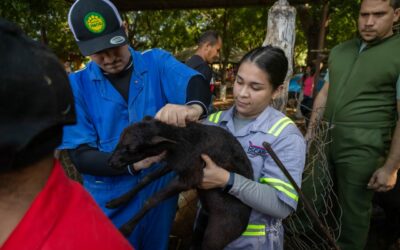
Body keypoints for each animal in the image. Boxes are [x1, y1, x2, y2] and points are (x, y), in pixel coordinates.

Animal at [106, 117, 253, 250]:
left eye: (132, 149)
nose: (110, 162)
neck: (179, 140)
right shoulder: (173, 163)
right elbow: (147, 178)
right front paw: (117, 202)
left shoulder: (192, 176)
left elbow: (152, 200)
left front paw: (125, 229)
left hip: (218, 234)